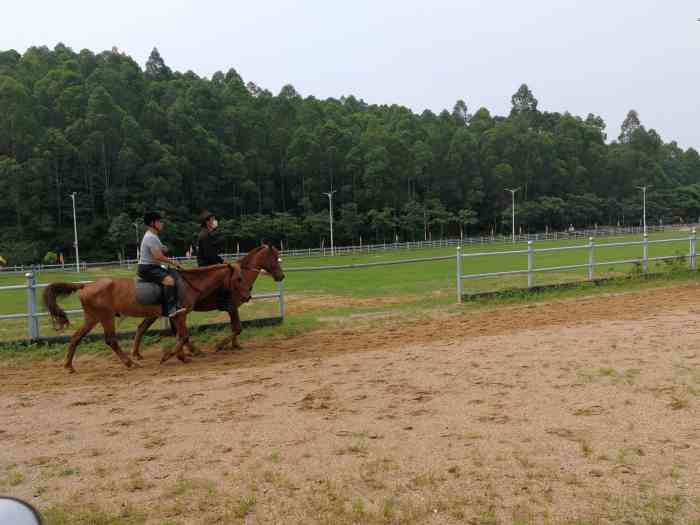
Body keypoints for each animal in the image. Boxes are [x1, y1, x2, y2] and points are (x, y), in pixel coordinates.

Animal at [43, 262, 249, 372]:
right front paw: (169, 356)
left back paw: (69, 366)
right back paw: (129, 362)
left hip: (92, 318)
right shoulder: (180, 315)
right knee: (110, 340)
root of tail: (86, 285)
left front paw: (182, 356)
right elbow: (183, 336)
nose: (247, 296)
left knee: (75, 338)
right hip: (105, 317)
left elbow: (180, 336)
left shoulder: (176, 316)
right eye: (239, 278)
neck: (188, 284)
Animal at [130, 243, 286, 358]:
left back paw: (138, 353)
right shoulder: (232, 307)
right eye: (274, 257)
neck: (240, 277)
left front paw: (235, 346)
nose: (281, 276)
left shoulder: (233, 308)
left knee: (143, 328)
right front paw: (220, 345)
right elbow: (237, 328)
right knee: (152, 329)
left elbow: (235, 328)